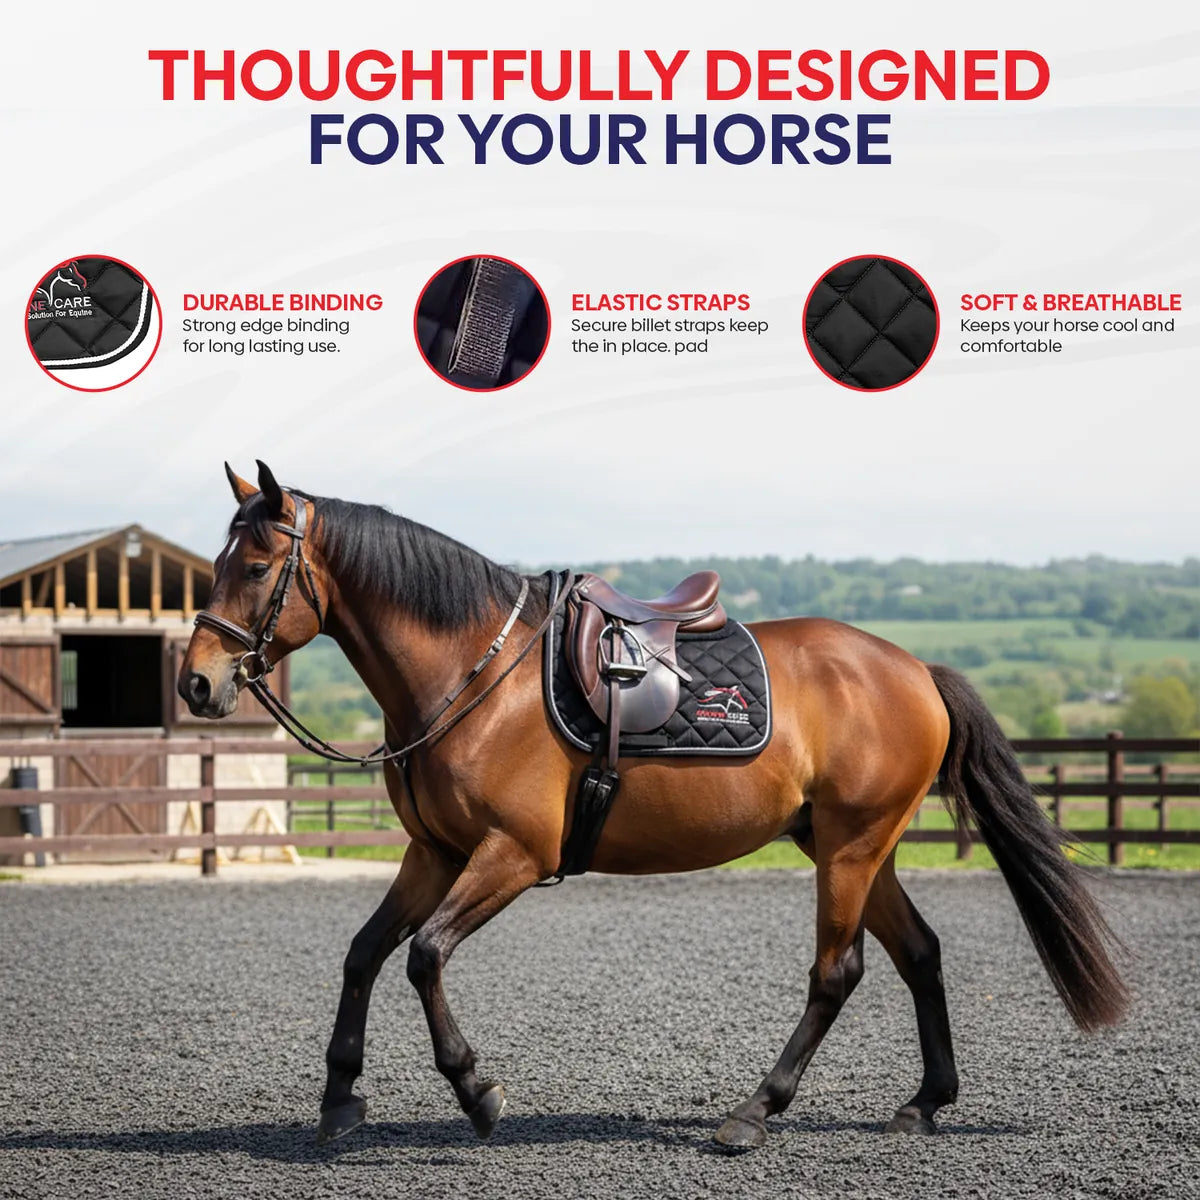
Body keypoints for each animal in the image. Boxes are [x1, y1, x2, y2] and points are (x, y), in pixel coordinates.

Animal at [178, 461, 1127, 1151]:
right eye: (217, 566)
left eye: (255, 568)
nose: (196, 683)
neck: (473, 673)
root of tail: (912, 669)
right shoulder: (433, 853)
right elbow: (364, 954)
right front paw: (340, 1098)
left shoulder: (513, 854)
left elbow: (423, 957)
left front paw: (478, 1092)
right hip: (852, 844)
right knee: (920, 954)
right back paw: (924, 1103)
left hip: (853, 848)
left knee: (837, 972)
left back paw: (752, 1114)